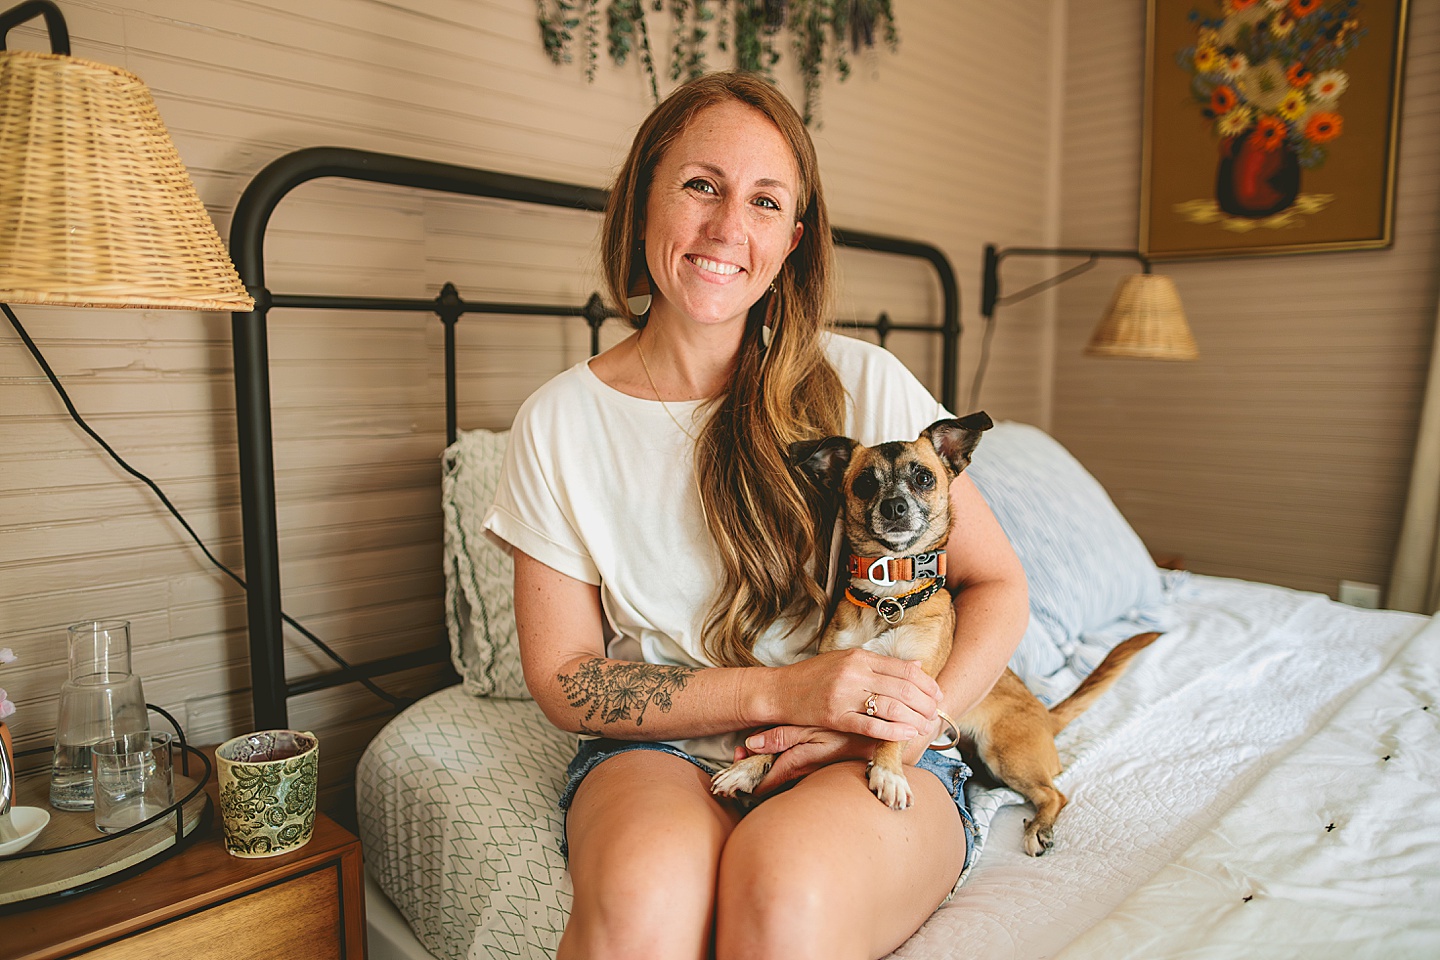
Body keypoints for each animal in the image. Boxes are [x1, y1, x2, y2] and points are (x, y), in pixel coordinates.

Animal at [708, 414, 1157, 857]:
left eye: (923, 478)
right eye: (865, 483)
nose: (894, 506)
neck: (888, 596)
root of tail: (1045, 714)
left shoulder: (913, 684)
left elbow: (891, 731)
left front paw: (888, 772)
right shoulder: (828, 683)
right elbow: (779, 735)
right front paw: (745, 768)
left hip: (1006, 752)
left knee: (1055, 794)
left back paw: (1039, 829)